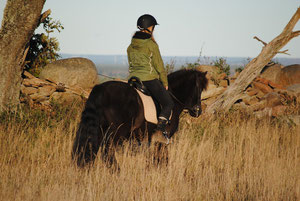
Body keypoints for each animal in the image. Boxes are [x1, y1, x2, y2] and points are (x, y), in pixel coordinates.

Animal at [71, 69, 207, 168]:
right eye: (198, 88)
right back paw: (117, 172)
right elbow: (162, 158)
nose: (197, 111)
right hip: (116, 132)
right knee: (108, 152)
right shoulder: (163, 139)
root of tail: (101, 89)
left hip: (100, 130)